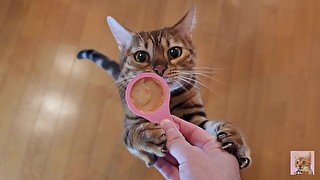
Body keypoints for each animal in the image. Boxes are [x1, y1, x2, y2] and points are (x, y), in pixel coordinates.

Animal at [77, 5, 250, 169]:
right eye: (141, 56)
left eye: (174, 52)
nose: (159, 69)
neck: (169, 101)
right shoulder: (129, 126)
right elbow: (134, 132)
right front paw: (149, 136)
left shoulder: (195, 118)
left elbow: (219, 124)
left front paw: (235, 141)